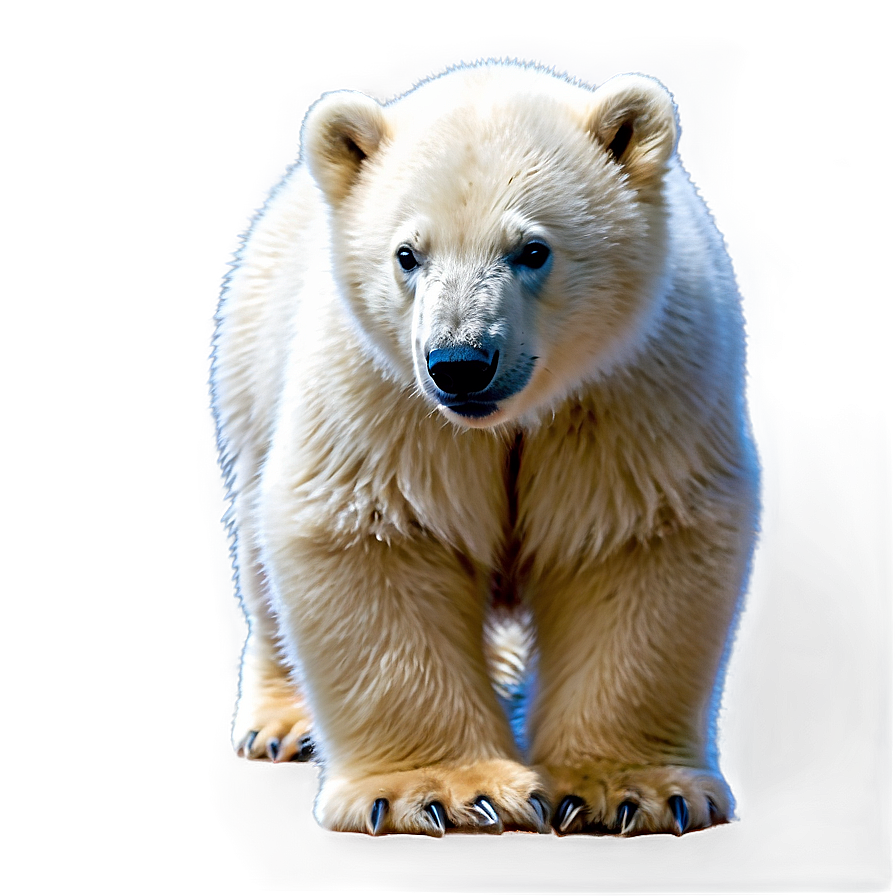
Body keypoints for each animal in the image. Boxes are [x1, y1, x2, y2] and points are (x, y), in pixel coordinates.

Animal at [212, 60, 761, 837]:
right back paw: (283, 723)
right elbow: (376, 532)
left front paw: (634, 792)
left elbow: (633, 535)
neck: (504, 419)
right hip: (252, 364)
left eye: (532, 250)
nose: (460, 363)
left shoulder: (634, 383)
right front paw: (444, 791)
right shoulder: (381, 393)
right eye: (407, 254)